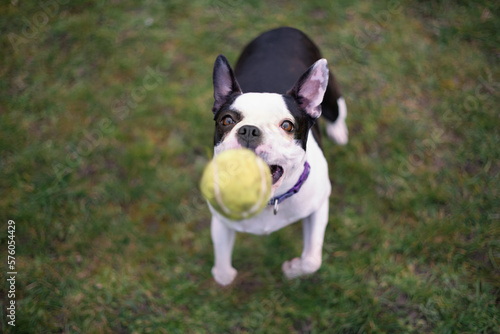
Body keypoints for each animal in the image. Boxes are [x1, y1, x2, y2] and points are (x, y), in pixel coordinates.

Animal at [209, 27, 346, 286]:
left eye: (287, 125)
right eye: (227, 121)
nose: (249, 130)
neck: (267, 200)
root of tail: (282, 29)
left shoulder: (319, 206)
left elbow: (311, 260)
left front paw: (292, 270)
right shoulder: (220, 221)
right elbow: (222, 272)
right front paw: (226, 275)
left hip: (329, 98)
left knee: (338, 108)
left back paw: (339, 131)